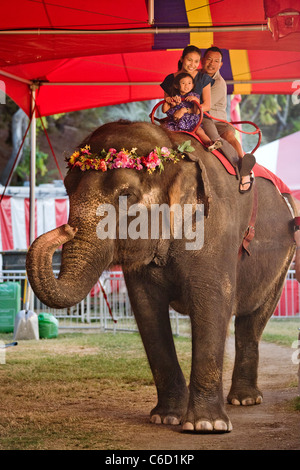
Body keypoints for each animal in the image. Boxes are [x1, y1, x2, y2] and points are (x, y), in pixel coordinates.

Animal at [27, 120, 298, 434]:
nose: (64, 229)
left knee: (253, 320)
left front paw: (206, 426)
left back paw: (244, 400)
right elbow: (147, 311)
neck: (172, 149)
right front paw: (166, 418)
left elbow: (213, 301)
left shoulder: (215, 227)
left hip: (284, 259)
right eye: (67, 190)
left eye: (126, 196)